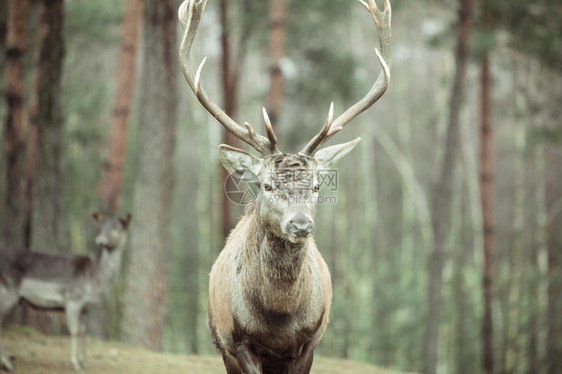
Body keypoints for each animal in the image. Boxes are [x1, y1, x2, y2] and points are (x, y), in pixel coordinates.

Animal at [0, 213, 131, 372]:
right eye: (101, 226)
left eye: (117, 226)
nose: (100, 240)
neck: (94, 282)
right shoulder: (72, 300)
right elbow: (74, 331)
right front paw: (76, 364)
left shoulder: (85, 308)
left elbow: (83, 332)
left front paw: (84, 363)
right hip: (7, 293)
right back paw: (8, 364)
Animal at [179, 0, 390, 372]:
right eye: (266, 186)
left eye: (318, 186)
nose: (300, 224)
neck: (278, 320)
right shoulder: (238, 342)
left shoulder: (311, 340)